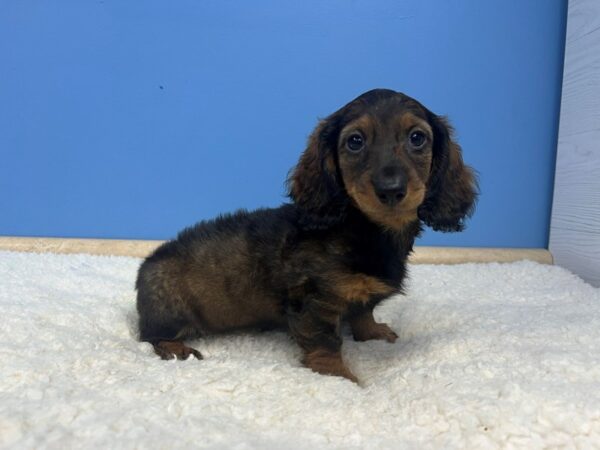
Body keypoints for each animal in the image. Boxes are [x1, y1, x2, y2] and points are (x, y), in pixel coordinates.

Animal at [136, 89, 478, 384]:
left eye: (417, 138)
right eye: (355, 141)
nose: (391, 189)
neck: (364, 232)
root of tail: (147, 266)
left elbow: (363, 311)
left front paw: (371, 333)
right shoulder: (316, 302)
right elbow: (325, 342)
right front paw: (338, 378)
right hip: (171, 312)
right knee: (150, 337)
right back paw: (176, 349)